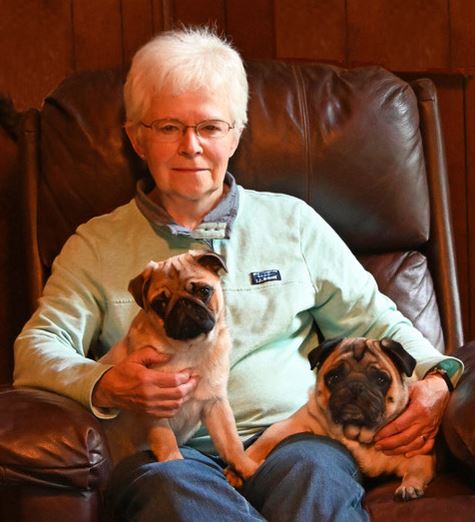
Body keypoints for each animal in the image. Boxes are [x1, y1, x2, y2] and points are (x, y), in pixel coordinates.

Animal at [100, 250, 258, 481]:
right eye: (160, 303)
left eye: (204, 291)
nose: (182, 302)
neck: (189, 348)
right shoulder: (154, 409)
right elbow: (166, 441)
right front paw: (174, 462)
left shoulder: (215, 405)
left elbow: (231, 443)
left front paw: (247, 467)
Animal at [226, 337, 435, 500]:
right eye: (334, 378)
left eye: (381, 380)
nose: (355, 386)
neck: (357, 433)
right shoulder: (288, 426)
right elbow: (259, 446)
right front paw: (236, 470)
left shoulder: (417, 455)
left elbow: (416, 470)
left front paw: (409, 487)